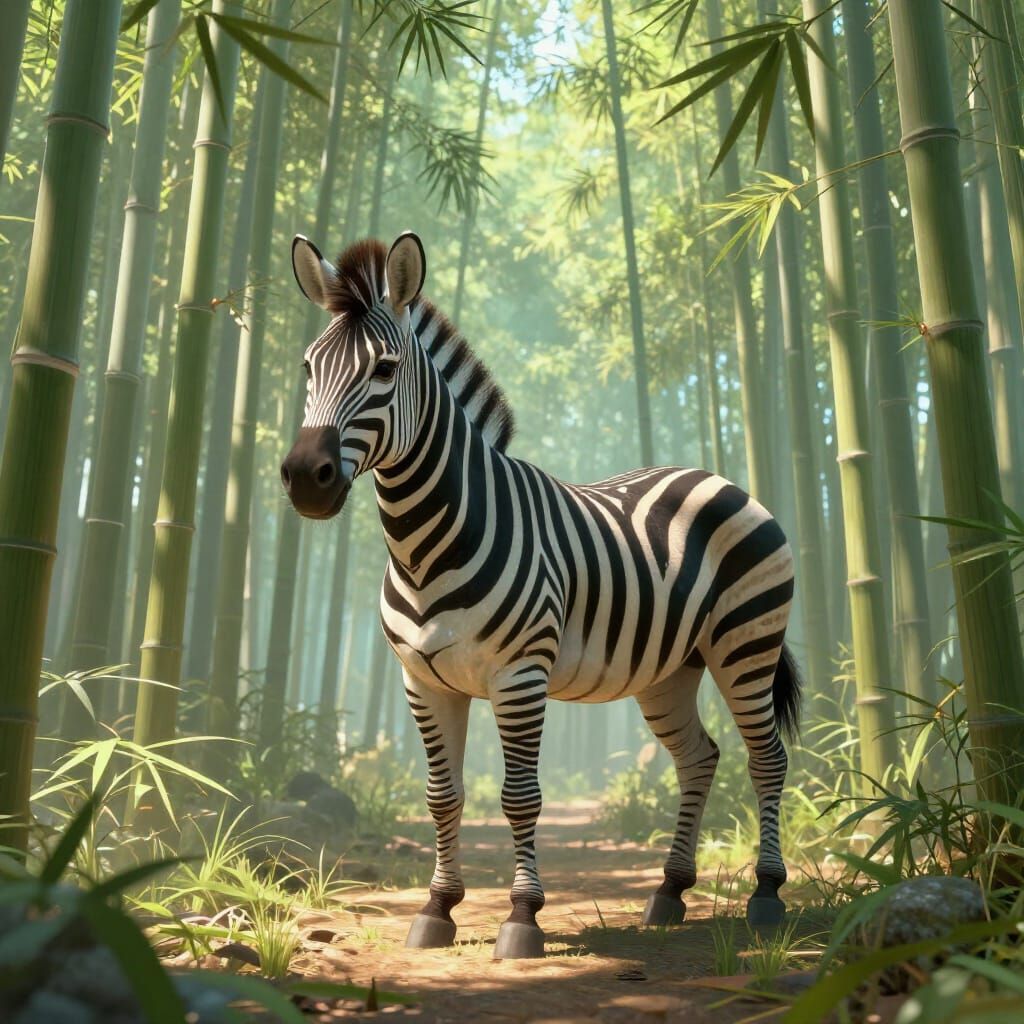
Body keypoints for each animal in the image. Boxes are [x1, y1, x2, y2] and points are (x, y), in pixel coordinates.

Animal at [281, 231, 801, 960]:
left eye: (384, 369)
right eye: (307, 369)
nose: (306, 478)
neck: (425, 547)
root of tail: (717, 477)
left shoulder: (520, 673)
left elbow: (521, 796)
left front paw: (523, 917)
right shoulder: (423, 680)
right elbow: (442, 795)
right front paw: (438, 908)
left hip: (745, 644)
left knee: (767, 759)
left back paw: (766, 894)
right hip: (669, 670)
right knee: (699, 759)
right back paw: (669, 891)